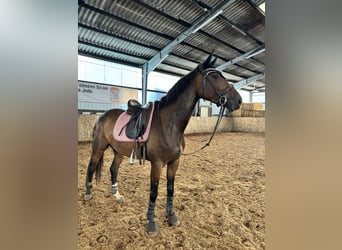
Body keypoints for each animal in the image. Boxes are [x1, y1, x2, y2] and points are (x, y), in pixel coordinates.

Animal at [84, 52, 242, 234]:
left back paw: (116, 195)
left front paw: (171, 215)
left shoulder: (174, 162)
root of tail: (102, 116)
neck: (169, 124)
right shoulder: (157, 164)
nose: (238, 100)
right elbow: (154, 192)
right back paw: (87, 193)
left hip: (119, 151)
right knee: (91, 167)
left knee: (113, 169)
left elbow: (170, 189)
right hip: (98, 148)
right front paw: (151, 223)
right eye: (215, 76)